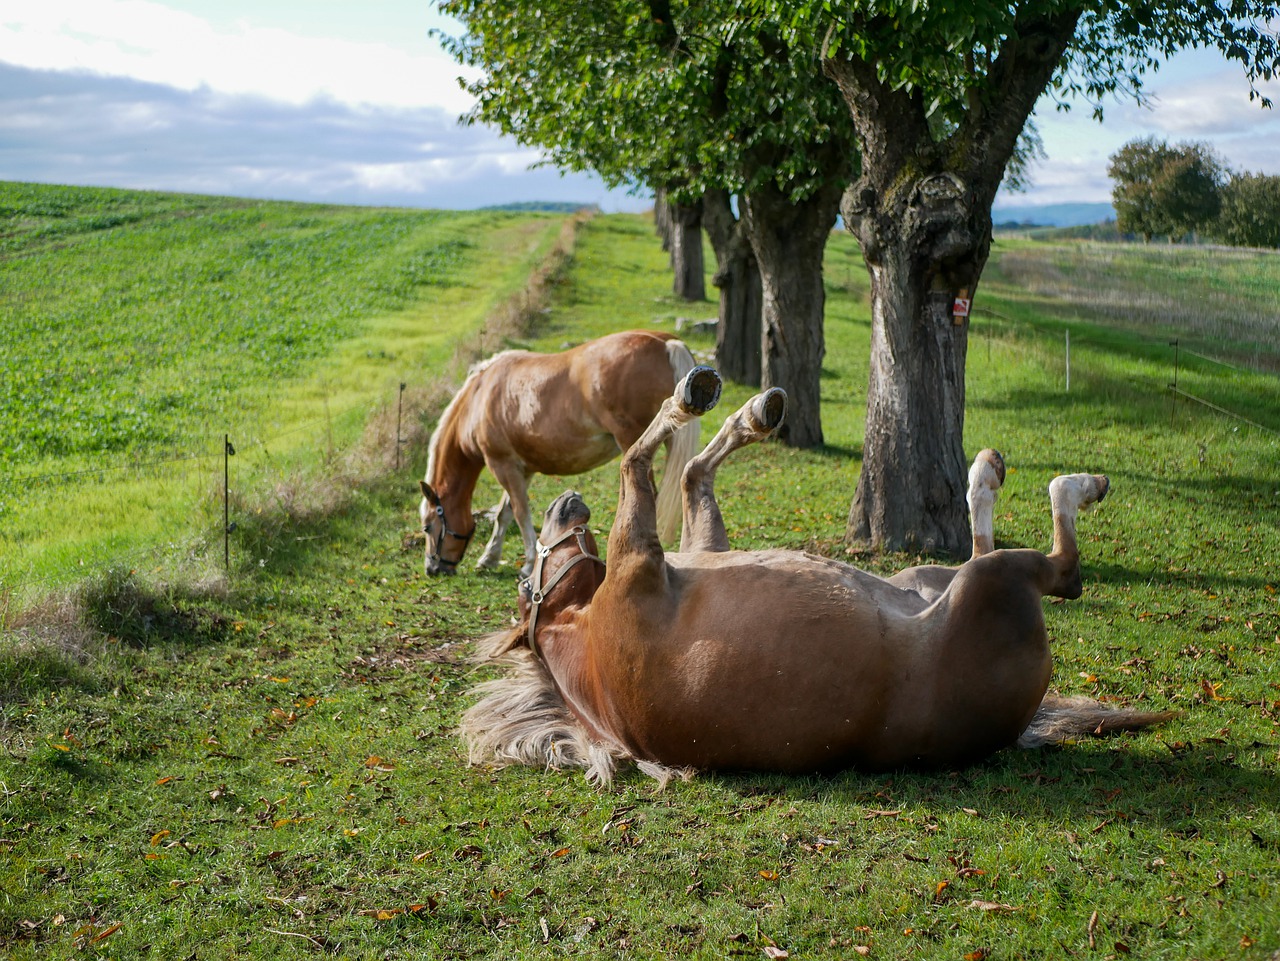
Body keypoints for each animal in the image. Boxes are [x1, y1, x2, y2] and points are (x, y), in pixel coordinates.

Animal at [418, 330, 700, 576]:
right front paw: (489, 558)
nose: (432, 569)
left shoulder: (502, 465)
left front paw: (528, 565)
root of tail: (666, 343)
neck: (480, 396)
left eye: (427, 527)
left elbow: (521, 513)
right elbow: (504, 513)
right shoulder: (521, 469)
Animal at [462, 366, 1174, 784]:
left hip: (927, 576)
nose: (562, 505)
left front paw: (750, 411)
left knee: (977, 542)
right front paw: (691, 396)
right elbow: (638, 460)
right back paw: (1072, 486)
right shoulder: (639, 557)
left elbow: (691, 475)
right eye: (526, 577)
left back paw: (984, 473)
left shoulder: (689, 551)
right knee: (1061, 567)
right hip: (991, 586)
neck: (588, 647)